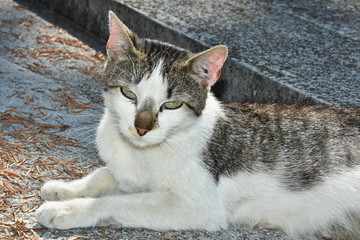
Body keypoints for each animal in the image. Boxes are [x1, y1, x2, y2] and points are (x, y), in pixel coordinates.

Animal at [35, 10, 360, 238]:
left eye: (172, 105)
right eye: (129, 93)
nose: (142, 128)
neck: (140, 153)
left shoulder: (197, 207)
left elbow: (120, 202)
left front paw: (66, 209)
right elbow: (106, 175)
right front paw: (66, 188)